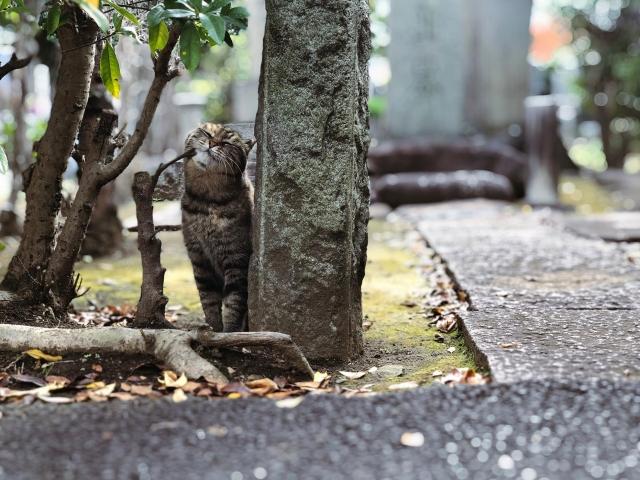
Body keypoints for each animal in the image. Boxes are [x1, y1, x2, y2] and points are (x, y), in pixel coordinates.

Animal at [180, 124, 255, 332]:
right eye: (208, 133)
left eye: (227, 143)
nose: (212, 143)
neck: (207, 201)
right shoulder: (199, 258)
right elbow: (209, 300)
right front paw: (214, 328)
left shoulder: (237, 260)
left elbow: (234, 302)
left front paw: (229, 333)